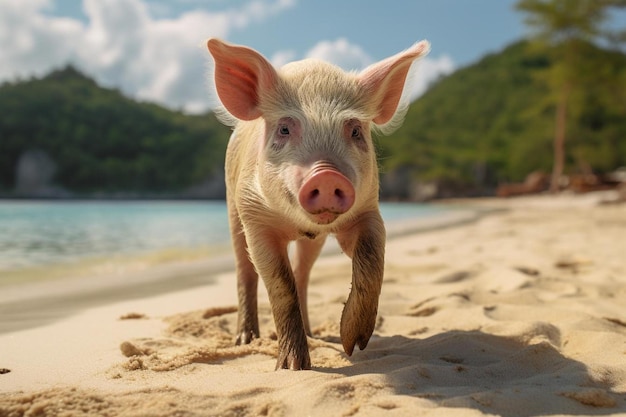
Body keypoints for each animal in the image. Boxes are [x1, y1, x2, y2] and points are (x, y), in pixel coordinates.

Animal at [207, 36, 426, 368]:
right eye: (285, 128)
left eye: (355, 130)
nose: (325, 175)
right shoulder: (254, 216)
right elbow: (279, 284)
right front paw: (293, 367)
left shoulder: (369, 209)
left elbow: (371, 260)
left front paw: (352, 343)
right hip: (233, 209)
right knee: (244, 270)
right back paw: (245, 339)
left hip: (314, 241)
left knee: (303, 274)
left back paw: (312, 333)